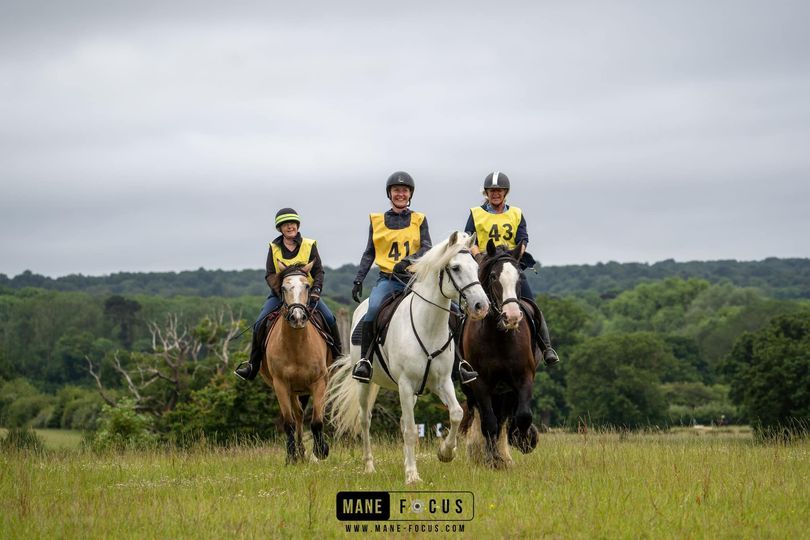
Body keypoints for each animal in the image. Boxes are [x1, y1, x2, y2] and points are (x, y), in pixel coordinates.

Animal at [262, 262, 332, 464]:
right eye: (284, 288)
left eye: (307, 286)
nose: (298, 317)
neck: (297, 346)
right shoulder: (281, 385)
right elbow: (289, 423)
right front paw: (291, 456)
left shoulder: (319, 382)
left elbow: (317, 421)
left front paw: (321, 450)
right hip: (293, 390)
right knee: (298, 415)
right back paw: (299, 453)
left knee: (304, 415)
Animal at [326, 232, 490, 486]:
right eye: (455, 267)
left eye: (475, 267)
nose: (481, 306)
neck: (428, 326)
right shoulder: (405, 384)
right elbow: (412, 431)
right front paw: (413, 476)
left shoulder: (442, 382)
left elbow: (456, 414)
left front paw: (445, 453)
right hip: (366, 384)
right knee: (365, 420)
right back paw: (369, 467)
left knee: (404, 421)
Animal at [458, 240, 540, 468]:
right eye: (494, 277)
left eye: (520, 277)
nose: (511, 316)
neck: (499, 336)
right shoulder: (479, 383)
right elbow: (489, 421)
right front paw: (490, 459)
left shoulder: (523, 377)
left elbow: (522, 416)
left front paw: (523, 439)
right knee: (480, 415)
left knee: (504, 415)